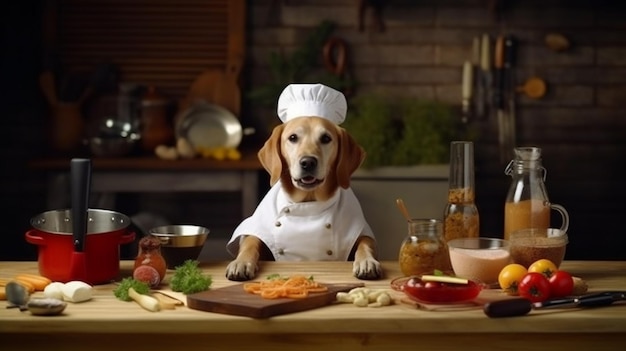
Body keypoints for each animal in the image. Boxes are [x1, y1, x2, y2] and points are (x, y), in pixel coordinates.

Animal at [224, 117, 380, 282]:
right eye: (293, 138)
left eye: (326, 138)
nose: (308, 162)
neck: (308, 204)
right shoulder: (258, 231)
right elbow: (250, 242)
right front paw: (241, 262)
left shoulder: (362, 233)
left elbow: (365, 243)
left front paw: (367, 261)